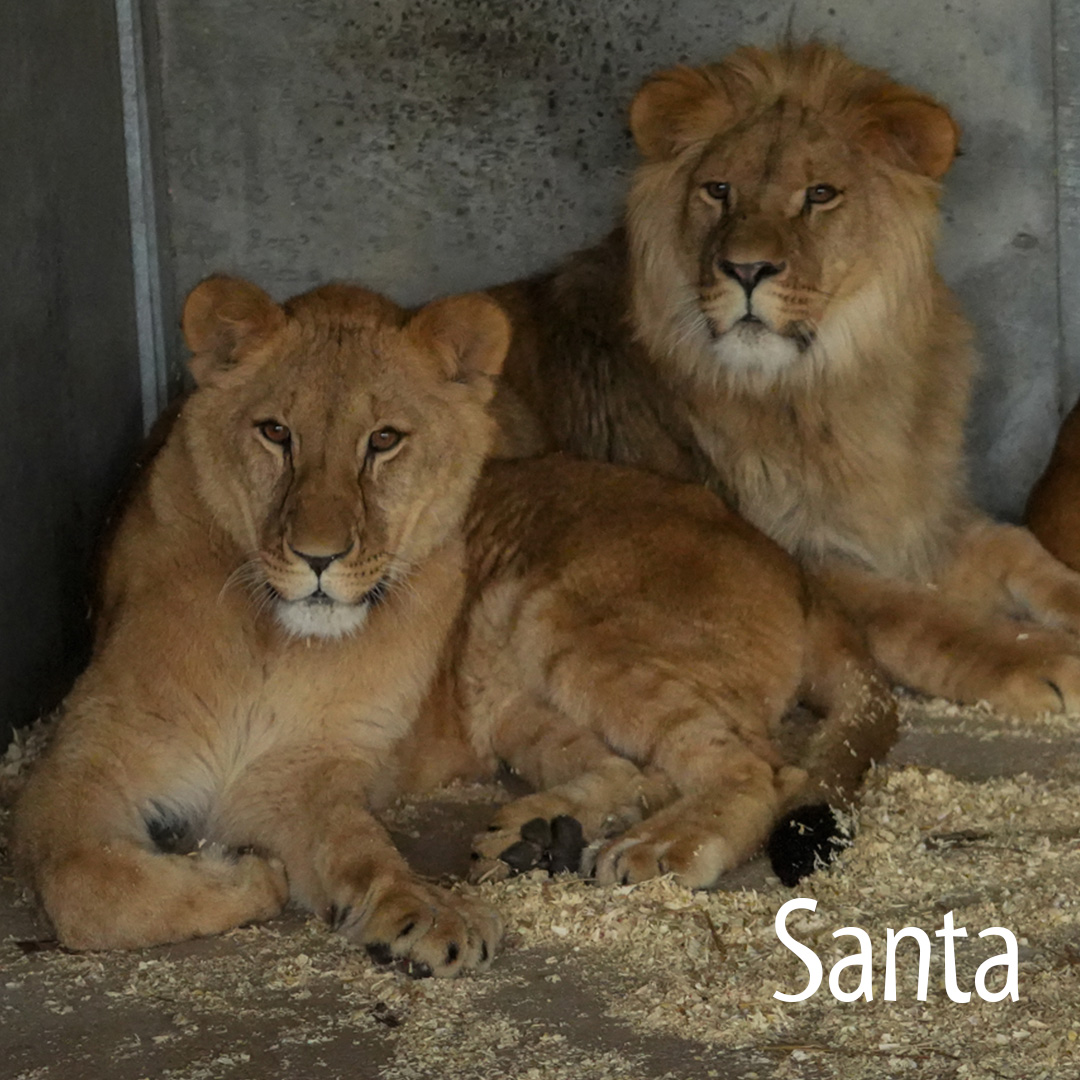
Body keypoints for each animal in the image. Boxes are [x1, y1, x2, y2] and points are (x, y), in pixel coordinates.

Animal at [9, 276, 505, 972]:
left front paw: (422, 908)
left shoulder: (297, 769)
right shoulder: (87, 756)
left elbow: (358, 847)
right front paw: (247, 874)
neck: (279, 643)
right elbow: (87, 884)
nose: (318, 557)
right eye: (275, 432)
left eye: (384, 440)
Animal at [492, 42, 1080, 721]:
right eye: (718, 190)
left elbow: (1018, 549)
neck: (825, 386)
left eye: (820, 194)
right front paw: (1043, 659)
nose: (746, 269)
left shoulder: (920, 514)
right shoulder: (805, 559)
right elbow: (924, 617)